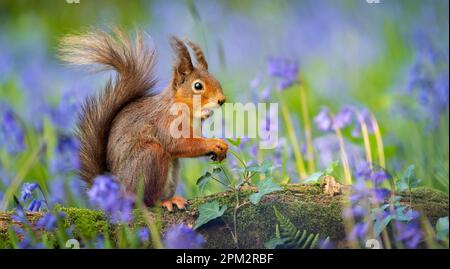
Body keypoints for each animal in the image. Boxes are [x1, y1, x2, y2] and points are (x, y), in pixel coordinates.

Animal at [59, 27, 229, 209]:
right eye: (197, 86)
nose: (221, 100)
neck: (187, 110)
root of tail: (117, 195)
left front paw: (221, 147)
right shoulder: (166, 122)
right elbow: (178, 144)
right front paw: (214, 143)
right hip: (150, 157)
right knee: (147, 200)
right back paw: (166, 201)